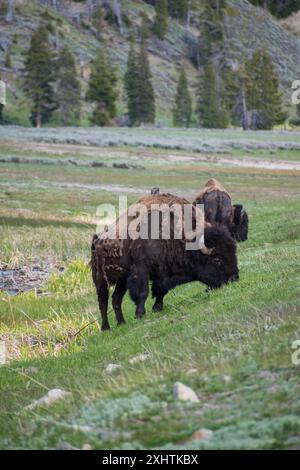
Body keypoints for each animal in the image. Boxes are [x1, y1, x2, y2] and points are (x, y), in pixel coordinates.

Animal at [90, 193, 238, 332]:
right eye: (217, 260)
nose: (234, 278)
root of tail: (97, 241)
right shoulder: (141, 269)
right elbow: (143, 292)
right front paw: (140, 314)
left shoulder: (162, 272)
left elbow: (161, 290)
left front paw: (157, 308)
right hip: (101, 280)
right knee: (103, 302)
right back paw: (106, 328)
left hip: (121, 281)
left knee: (116, 299)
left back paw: (121, 323)